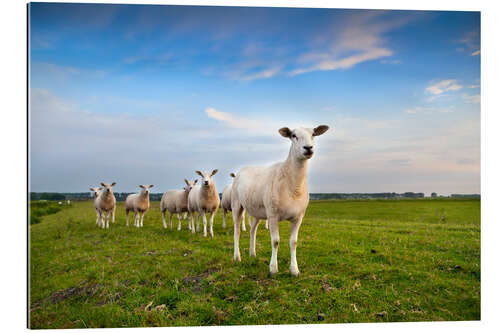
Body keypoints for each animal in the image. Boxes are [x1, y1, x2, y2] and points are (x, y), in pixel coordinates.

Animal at [232, 124, 330, 274]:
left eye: (313, 134)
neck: (293, 186)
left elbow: (293, 242)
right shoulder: (273, 214)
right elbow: (275, 241)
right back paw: (237, 257)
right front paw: (273, 268)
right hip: (237, 205)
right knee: (236, 231)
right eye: (293, 135)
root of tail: (244, 168)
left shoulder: (298, 217)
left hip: (257, 211)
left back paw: (252, 253)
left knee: (252, 230)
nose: (308, 148)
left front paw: (294, 269)